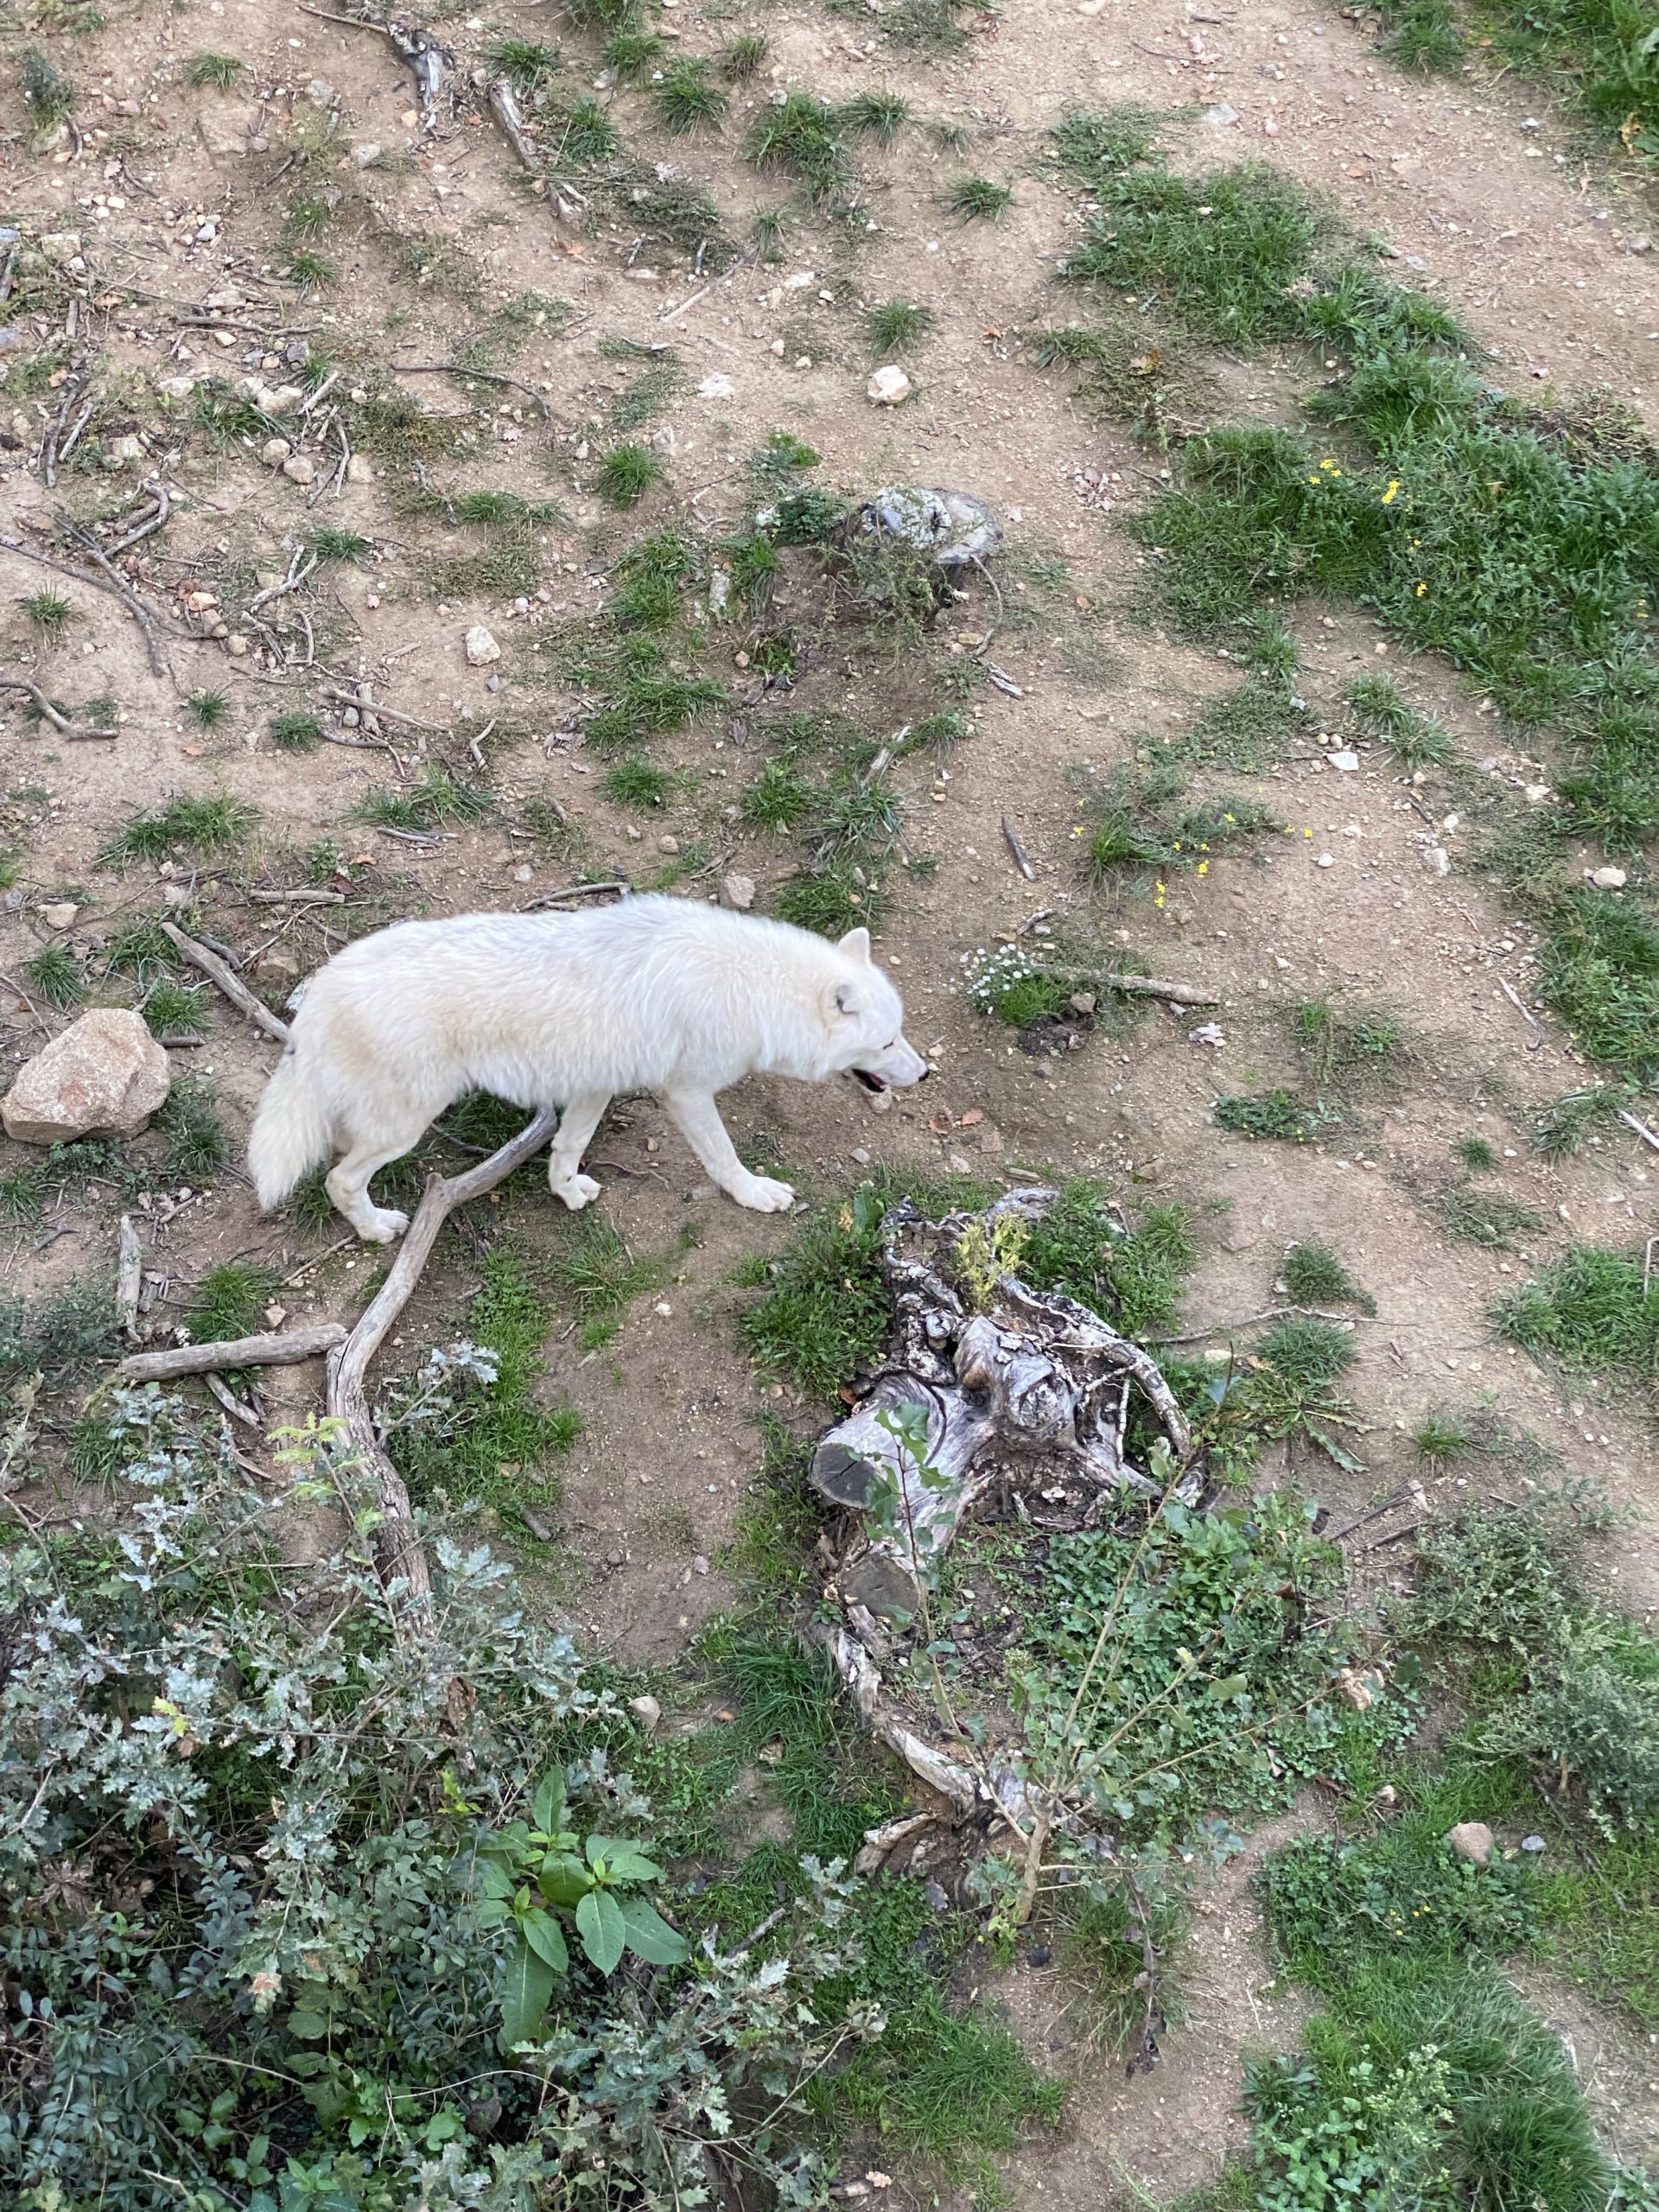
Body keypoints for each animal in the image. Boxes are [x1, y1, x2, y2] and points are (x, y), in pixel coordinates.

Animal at [246, 898, 929, 1247]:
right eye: (888, 1040)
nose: (923, 1074)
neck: (753, 988)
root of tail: (323, 988)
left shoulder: (594, 1083)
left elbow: (568, 1147)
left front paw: (566, 1191)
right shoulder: (687, 1093)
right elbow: (725, 1158)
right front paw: (756, 1194)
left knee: (339, 1147)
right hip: (406, 1126)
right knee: (338, 1179)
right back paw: (377, 1229)